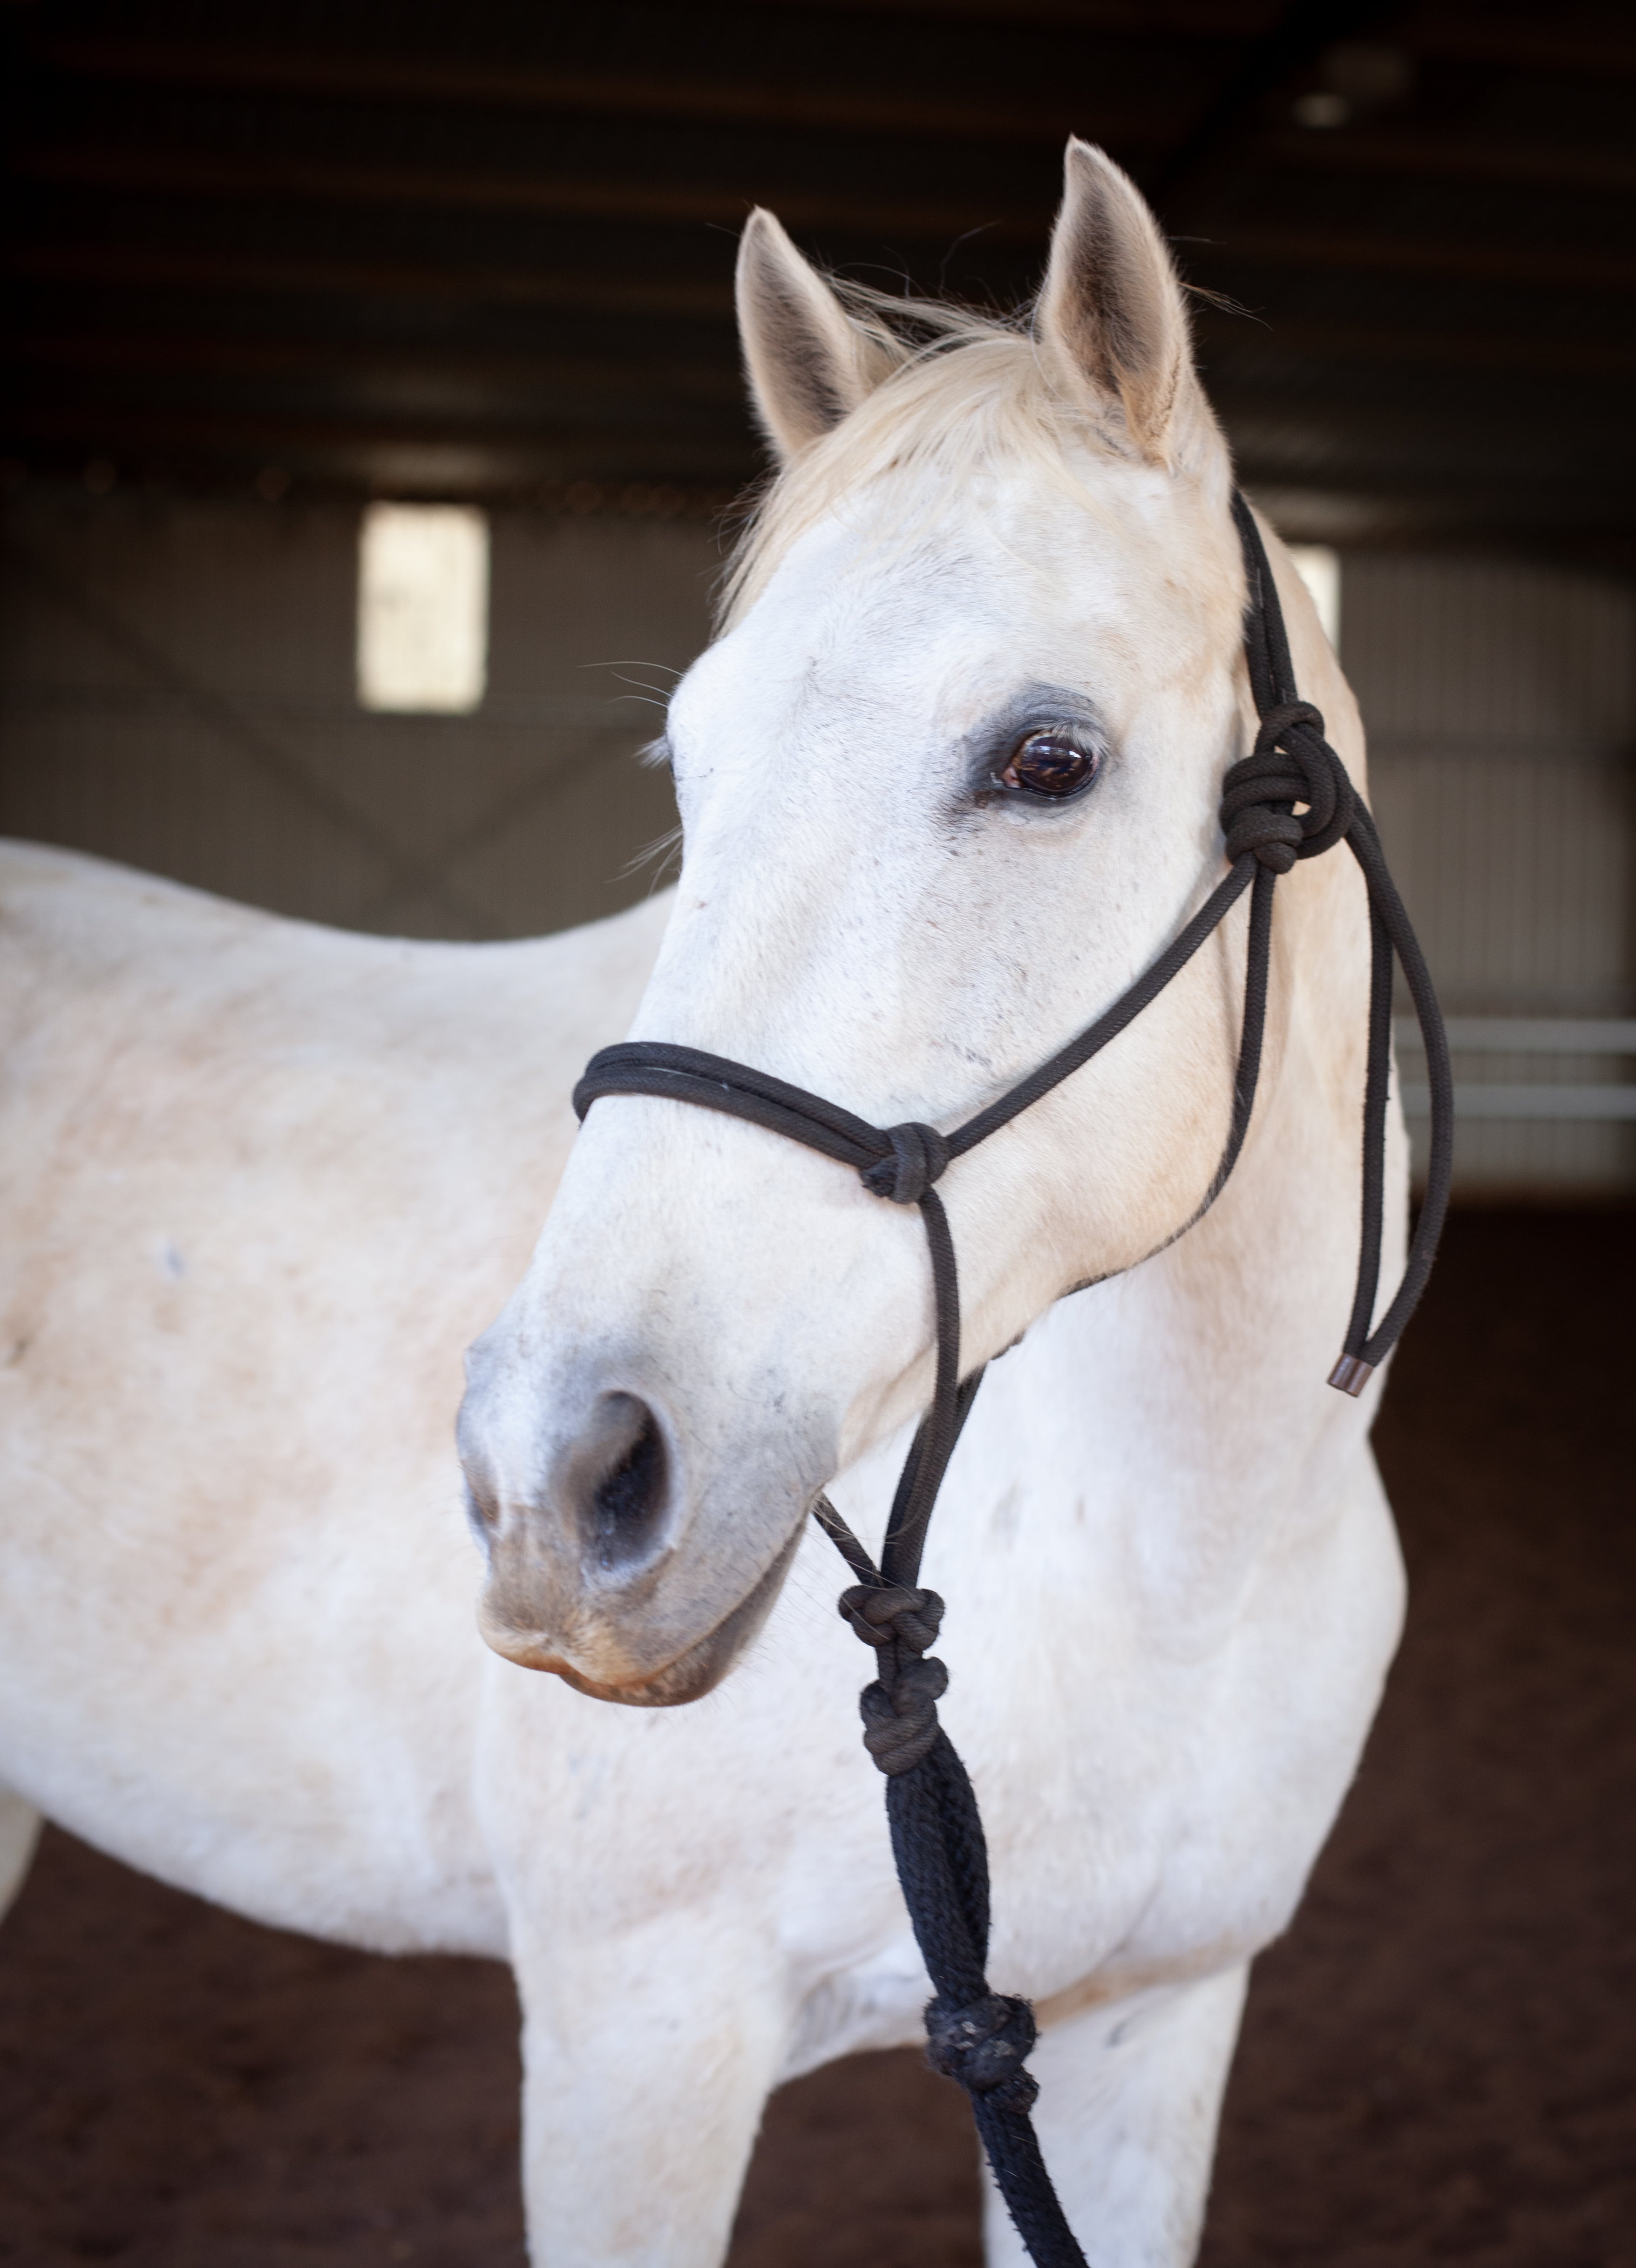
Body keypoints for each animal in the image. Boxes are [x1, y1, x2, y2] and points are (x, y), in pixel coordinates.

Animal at [0, 141, 1409, 2265]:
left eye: (1047, 757)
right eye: (689, 760)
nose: (548, 1480)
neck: (1175, 1554)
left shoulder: (1146, 2022)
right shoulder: (633, 2037)